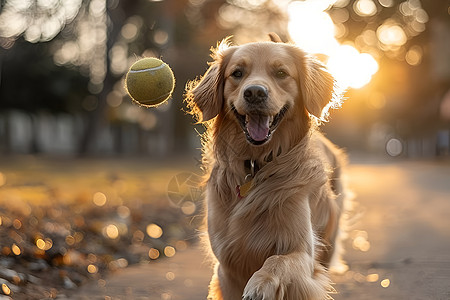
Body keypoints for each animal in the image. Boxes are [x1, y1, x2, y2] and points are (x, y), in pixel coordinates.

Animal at [185, 34, 348, 298]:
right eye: (237, 73)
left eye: (281, 73)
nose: (254, 92)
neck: (256, 164)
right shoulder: (226, 266)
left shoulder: (303, 254)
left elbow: (278, 260)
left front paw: (260, 284)